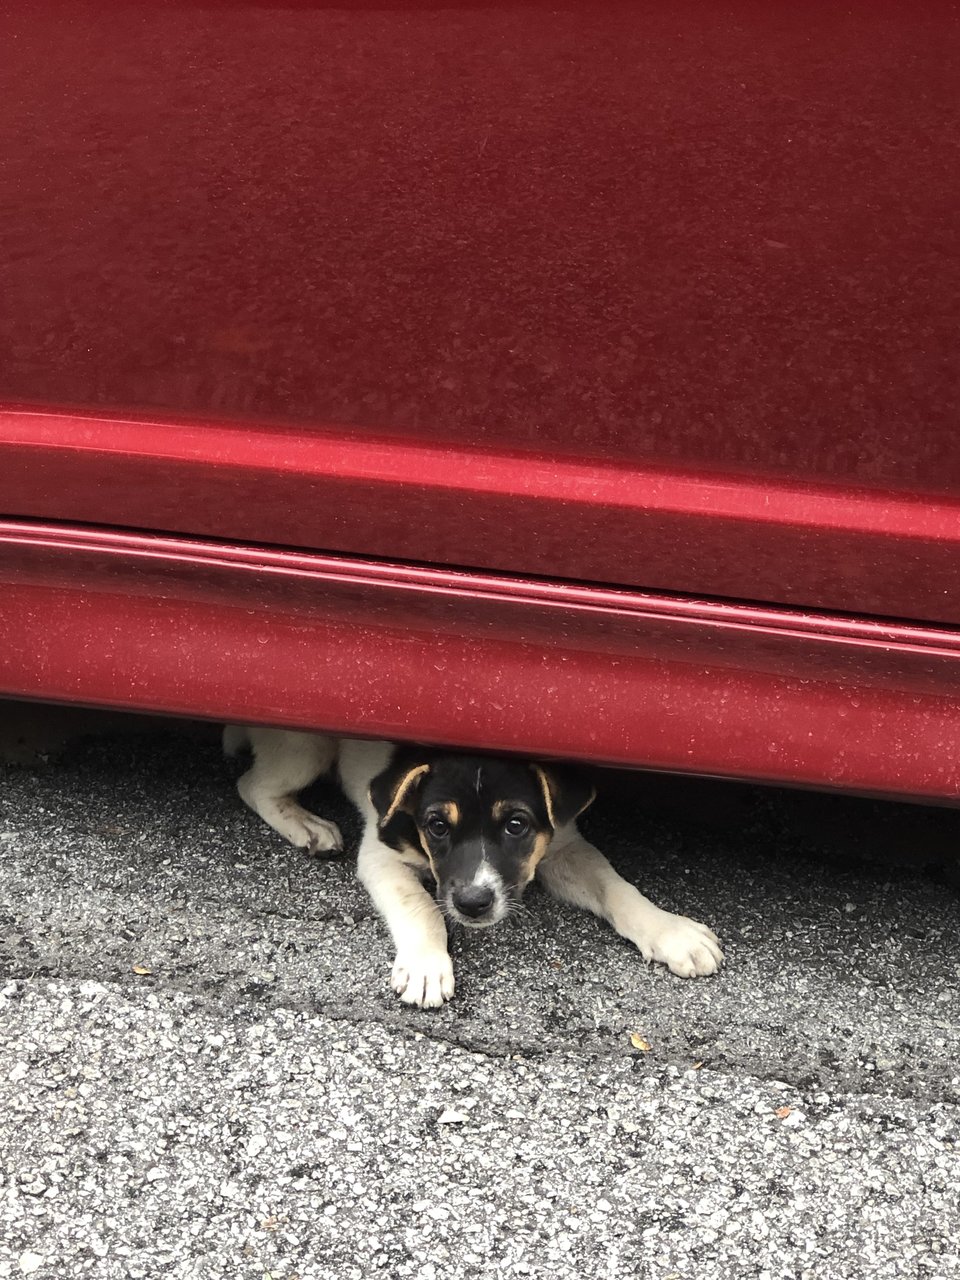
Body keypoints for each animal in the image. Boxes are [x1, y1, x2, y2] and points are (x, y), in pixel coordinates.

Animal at [224, 727, 721, 1003]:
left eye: (517, 825)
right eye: (437, 825)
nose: (473, 903)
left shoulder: (564, 847)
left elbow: (619, 887)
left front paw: (671, 932)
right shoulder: (381, 854)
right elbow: (422, 907)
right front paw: (426, 966)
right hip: (305, 749)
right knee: (251, 785)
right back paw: (307, 826)